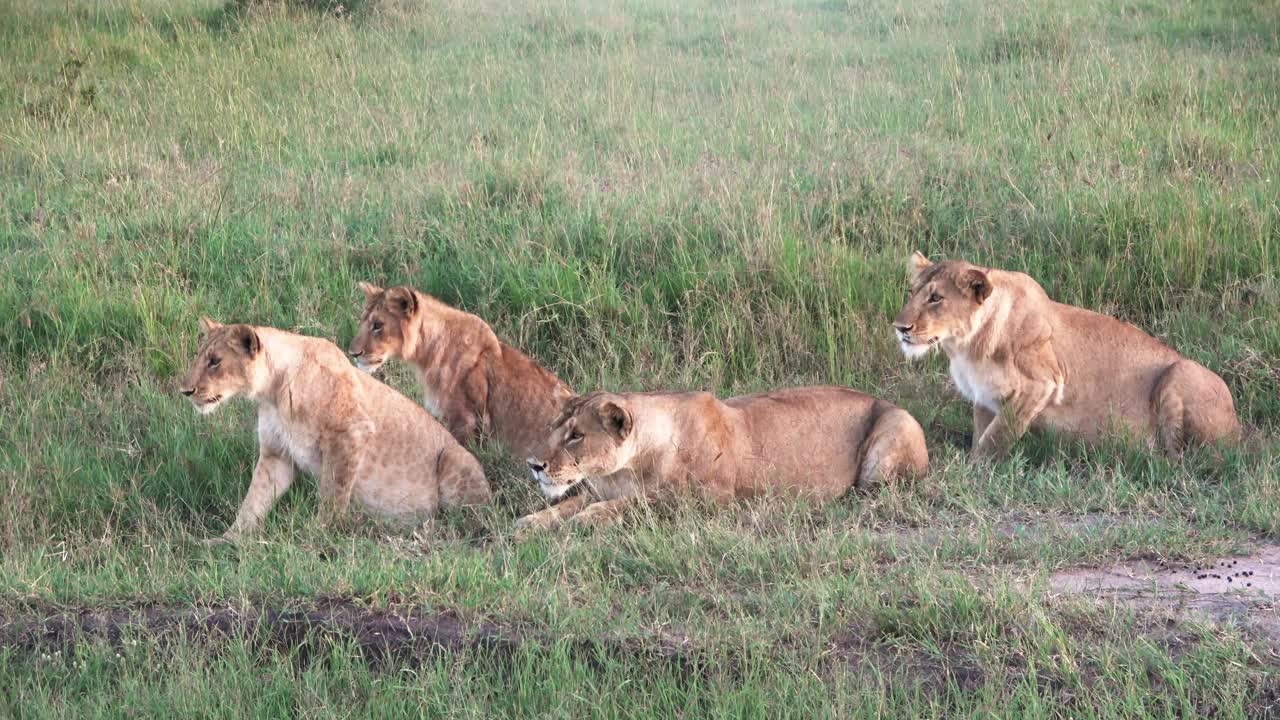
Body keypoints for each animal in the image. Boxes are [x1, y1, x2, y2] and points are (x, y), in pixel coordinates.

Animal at [183, 316, 491, 540]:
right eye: (200, 357)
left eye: (215, 362)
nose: (185, 391)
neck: (273, 391)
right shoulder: (277, 453)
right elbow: (254, 500)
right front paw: (227, 540)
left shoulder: (351, 432)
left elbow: (334, 492)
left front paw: (318, 535)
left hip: (454, 460)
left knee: (467, 519)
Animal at [514, 384, 926, 530]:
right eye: (554, 428)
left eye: (576, 436)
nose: (534, 465)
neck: (626, 471)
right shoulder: (600, 487)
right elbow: (571, 501)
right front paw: (532, 522)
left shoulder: (712, 498)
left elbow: (645, 501)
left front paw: (591, 517)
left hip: (891, 434)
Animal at [890, 249, 1239, 456]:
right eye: (913, 293)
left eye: (936, 298)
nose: (900, 327)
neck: (966, 346)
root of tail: (1241, 429)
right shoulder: (985, 397)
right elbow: (982, 433)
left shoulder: (1041, 384)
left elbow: (996, 437)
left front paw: (974, 471)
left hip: (1181, 372)